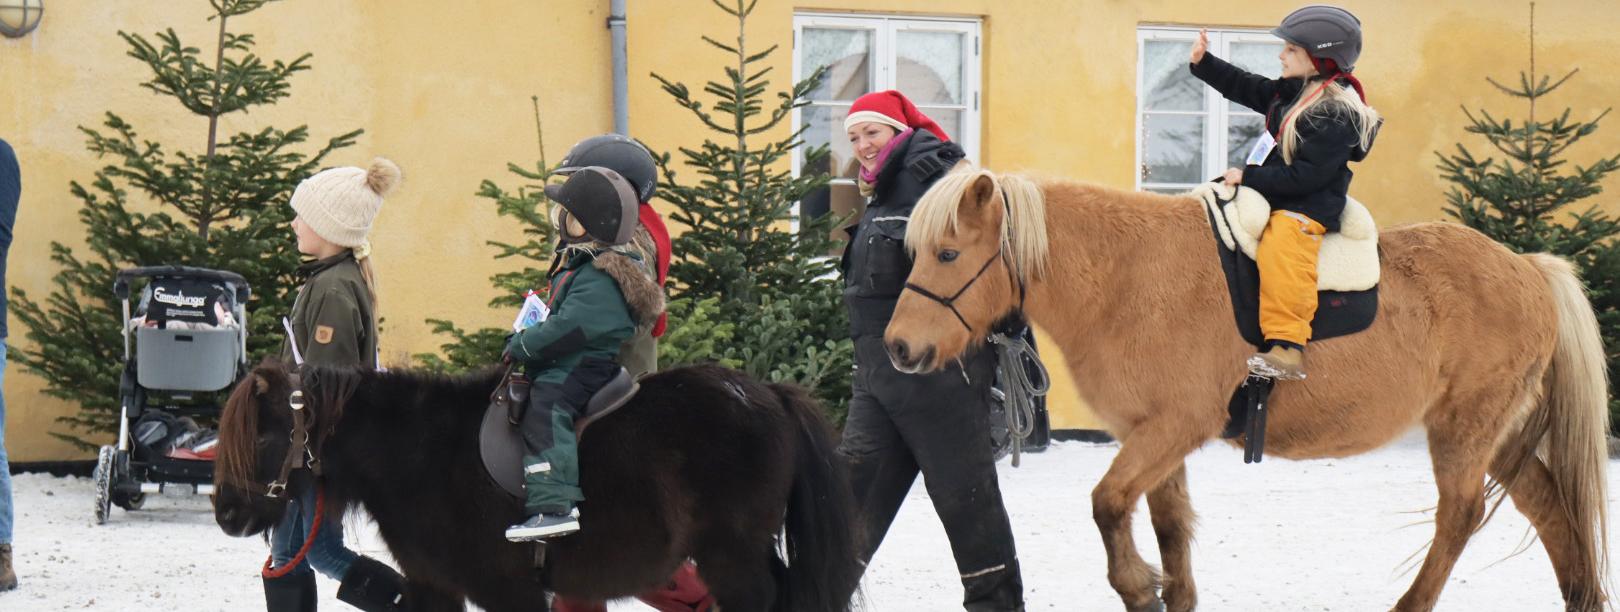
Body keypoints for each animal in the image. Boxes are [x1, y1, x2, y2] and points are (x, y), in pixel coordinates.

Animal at [210, 361, 868, 608]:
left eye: (263, 436)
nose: (227, 515)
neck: (419, 454)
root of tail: (768, 393)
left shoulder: (509, 592)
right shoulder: (432, 585)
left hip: (731, 557)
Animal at [887, 168, 1607, 612]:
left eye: (947, 254)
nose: (897, 347)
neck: (1127, 277)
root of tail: (1529, 269)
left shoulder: (1174, 427)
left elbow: (1108, 504)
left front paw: (1135, 584)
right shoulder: (1155, 438)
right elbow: (1168, 528)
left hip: (1464, 428)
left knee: (1460, 514)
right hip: (1499, 435)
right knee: (1550, 508)